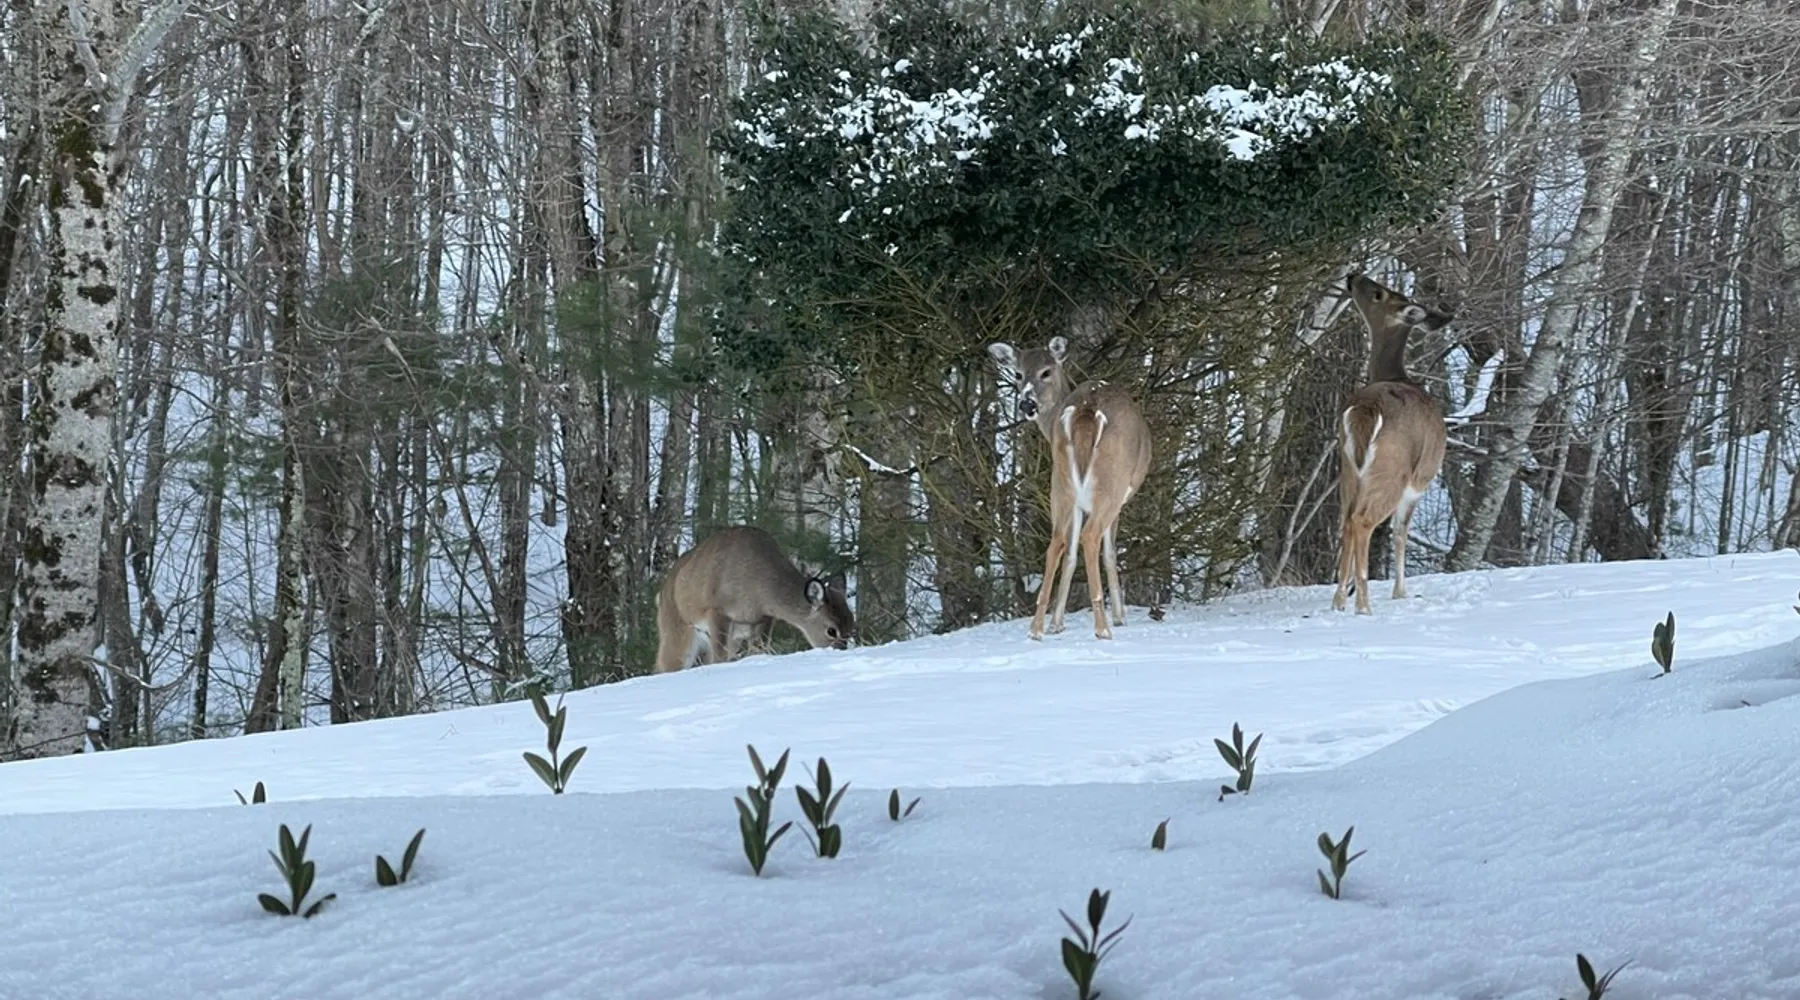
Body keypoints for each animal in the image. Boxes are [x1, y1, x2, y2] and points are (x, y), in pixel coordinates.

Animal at [653, 525, 855, 673]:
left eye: (851, 626)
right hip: (677, 630)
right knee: (665, 665)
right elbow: (719, 659)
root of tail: (661, 592)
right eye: (831, 630)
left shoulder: (764, 619)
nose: (841, 650)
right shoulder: (716, 610)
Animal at [988, 336, 1152, 641]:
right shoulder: (1119, 500)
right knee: (1090, 536)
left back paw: (1036, 629)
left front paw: (1056, 623)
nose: (1026, 404)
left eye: (1046, 372)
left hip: (1060, 483)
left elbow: (1069, 553)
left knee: (1056, 543)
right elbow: (1109, 552)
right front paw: (1120, 616)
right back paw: (1103, 628)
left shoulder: (1076, 500)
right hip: (1111, 484)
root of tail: (1086, 409)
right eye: (1018, 374)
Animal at [1333, 272, 1454, 615]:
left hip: (1348, 470)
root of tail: (1367, 409)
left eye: (1378, 293)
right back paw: (1363, 606)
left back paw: (1339, 603)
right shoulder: (1419, 483)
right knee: (1362, 522)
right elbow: (1401, 533)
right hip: (1392, 472)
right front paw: (1401, 592)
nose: (1352, 276)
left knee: (1347, 521)